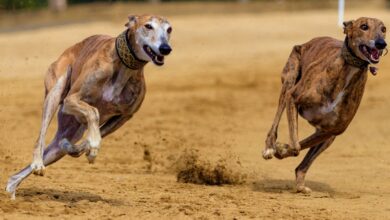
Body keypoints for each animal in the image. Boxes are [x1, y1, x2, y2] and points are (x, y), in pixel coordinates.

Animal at [5, 14, 174, 199]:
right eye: (148, 26)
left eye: (169, 29)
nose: (165, 49)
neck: (124, 67)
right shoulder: (71, 99)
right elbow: (93, 112)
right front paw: (92, 146)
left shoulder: (124, 117)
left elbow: (91, 137)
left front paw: (86, 148)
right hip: (56, 92)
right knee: (40, 137)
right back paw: (37, 163)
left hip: (66, 136)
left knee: (53, 148)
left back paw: (12, 187)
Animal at [264, 16, 386, 192]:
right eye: (364, 26)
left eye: (384, 29)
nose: (381, 43)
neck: (347, 71)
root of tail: (309, 42)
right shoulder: (293, 97)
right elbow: (296, 146)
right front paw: (278, 148)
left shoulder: (332, 129)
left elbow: (298, 146)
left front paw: (281, 149)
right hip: (289, 80)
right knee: (276, 119)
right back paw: (268, 147)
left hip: (328, 136)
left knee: (303, 165)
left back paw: (301, 186)